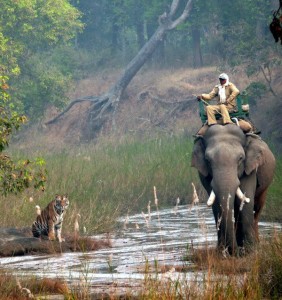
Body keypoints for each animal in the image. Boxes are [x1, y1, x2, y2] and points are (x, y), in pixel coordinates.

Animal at [192, 124, 276, 255]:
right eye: (208, 160)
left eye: (240, 158)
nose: (234, 252)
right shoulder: (205, 175)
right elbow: (216, 205)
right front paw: (222, 251)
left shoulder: (250, 167)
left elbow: (246, 201)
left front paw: (250, 250)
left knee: (257, 209)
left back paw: (255, 243)